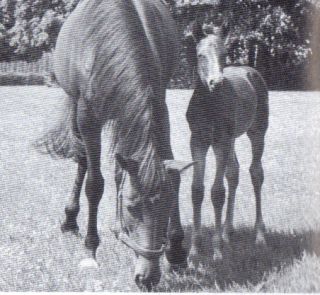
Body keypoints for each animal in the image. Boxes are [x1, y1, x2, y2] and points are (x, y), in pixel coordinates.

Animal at [185, 22, 270, 260]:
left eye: (224, 55)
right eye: (200, 55)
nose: (217, 82)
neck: (209, 105)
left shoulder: (220, 141)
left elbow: (217, 192)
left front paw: (216, 251)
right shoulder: (198, 141)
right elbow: (197, 190)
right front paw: (194, 251)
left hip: (257, 132)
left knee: (256, 173)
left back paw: (259, 235)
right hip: (230, 140)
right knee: (234, 172)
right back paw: (227, 231)